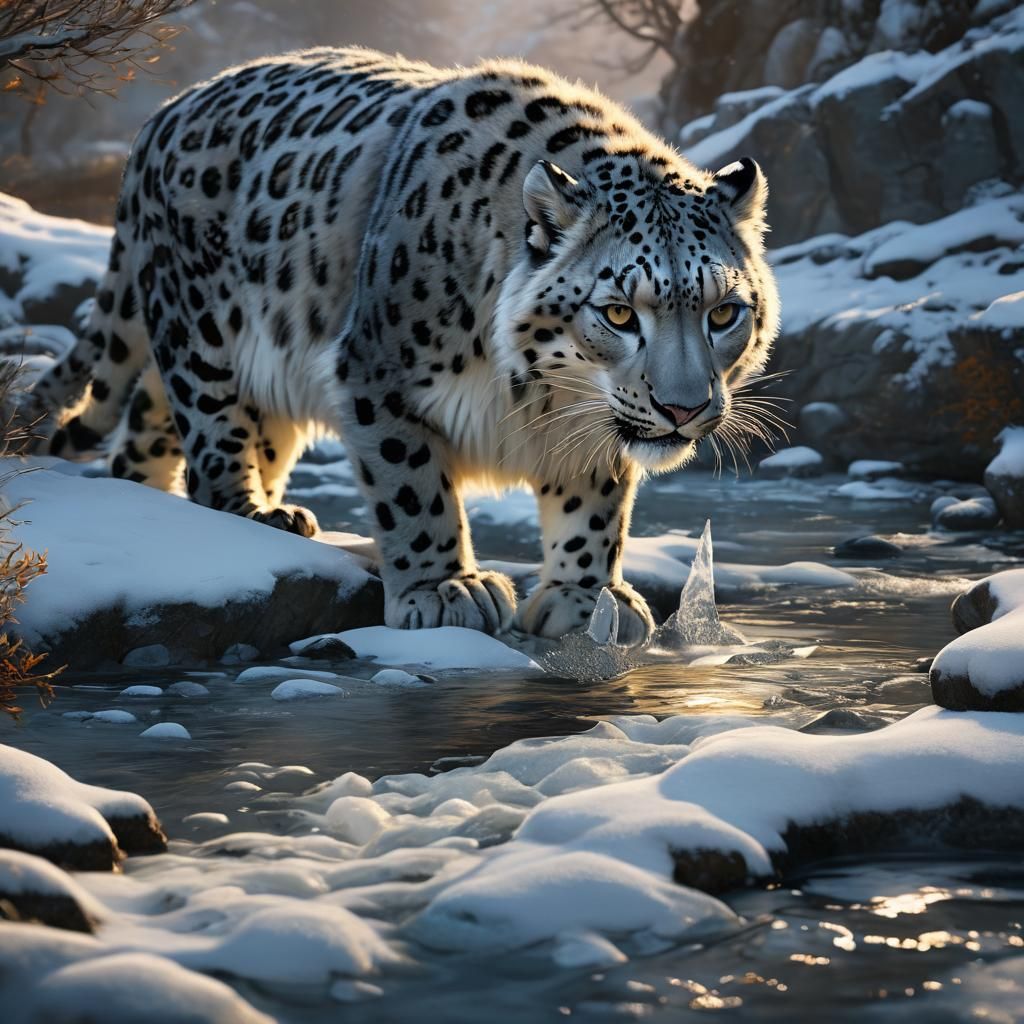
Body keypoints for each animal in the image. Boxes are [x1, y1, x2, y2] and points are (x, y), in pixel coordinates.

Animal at [28, 47, 780, 644]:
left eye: (723, 312)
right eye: (620, 312)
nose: (683, 408)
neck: (536, 395)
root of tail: (163, 115)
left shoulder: (587, 423)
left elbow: (596, 499)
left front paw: (587, 597)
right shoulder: (375, 375)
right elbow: (413, 485)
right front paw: (445, 589)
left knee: (146, 438)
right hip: (203, 334)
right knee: (212, 433)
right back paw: (261, 514)